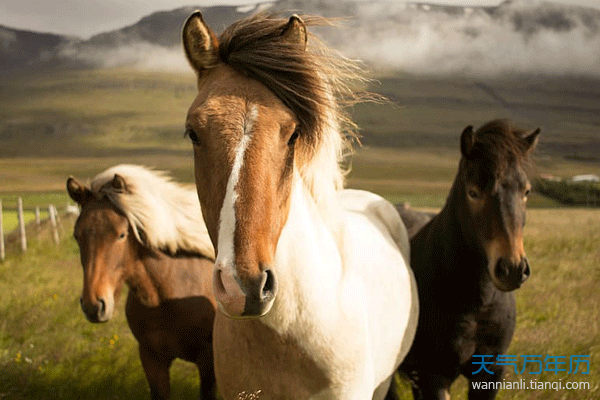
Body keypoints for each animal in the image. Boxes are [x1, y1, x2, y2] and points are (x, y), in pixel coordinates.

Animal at [386, 119, 540, 400]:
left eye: (526, 191)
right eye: (473, 192)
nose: (512, 269)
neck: (476, 304)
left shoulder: (490, 372)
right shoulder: (434, 376)